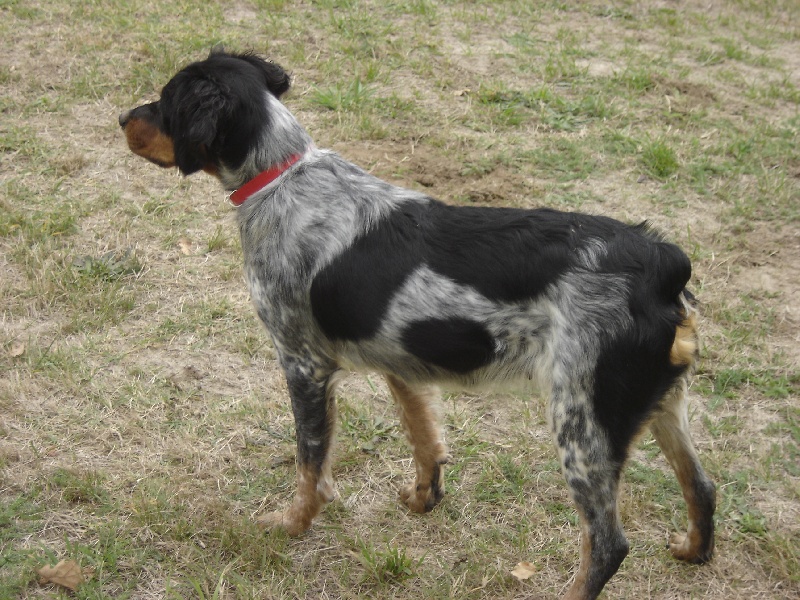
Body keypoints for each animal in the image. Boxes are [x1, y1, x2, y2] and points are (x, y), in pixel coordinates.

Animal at [122, 51, 716, 600]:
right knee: (703, 485)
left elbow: (311, 463)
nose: (124, 116)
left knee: (608, 543)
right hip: (658, 405)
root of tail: (663, 263)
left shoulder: (304, 364)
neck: (283, 176)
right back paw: (693, 551)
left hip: (582, 424)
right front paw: (421, 499)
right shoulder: (400, 361)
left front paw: (291, 525)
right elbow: (424, 437)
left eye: (167, 101)